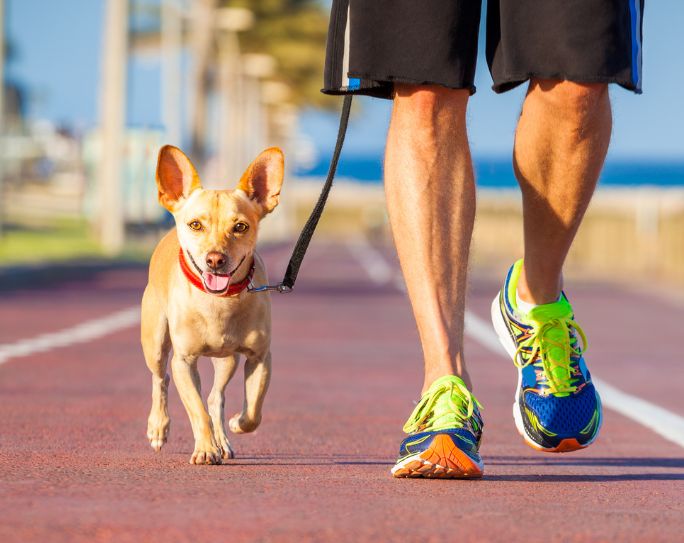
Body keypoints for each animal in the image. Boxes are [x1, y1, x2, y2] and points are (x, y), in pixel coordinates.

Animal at [142, 147, 284, 466]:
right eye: (196, 224)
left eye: (240, 227)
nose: (215, 259)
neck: (219, 302)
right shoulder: (183, 361)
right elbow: (197, 411)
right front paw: (206, 449)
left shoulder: (260, 357)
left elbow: (253, 411)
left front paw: (236, 425)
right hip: (155, 343)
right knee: (160, 379)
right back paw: (158, 428)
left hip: (227, 360)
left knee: (215, 397)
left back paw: (224, 440)